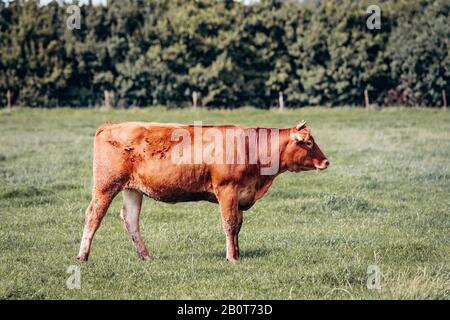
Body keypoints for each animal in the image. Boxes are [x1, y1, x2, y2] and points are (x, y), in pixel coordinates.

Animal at [77, 120, 328, 262]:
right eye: (308, 143)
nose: (326, 162)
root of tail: (112, 124)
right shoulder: (227, 190)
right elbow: (229, 223)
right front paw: (232, 257)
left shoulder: (240, 194)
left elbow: (238, 225)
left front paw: (237, 253)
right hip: (106, 185)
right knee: (94, 215)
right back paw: (82, 256)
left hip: (132, 189)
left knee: (130, 219)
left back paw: (146, 257)